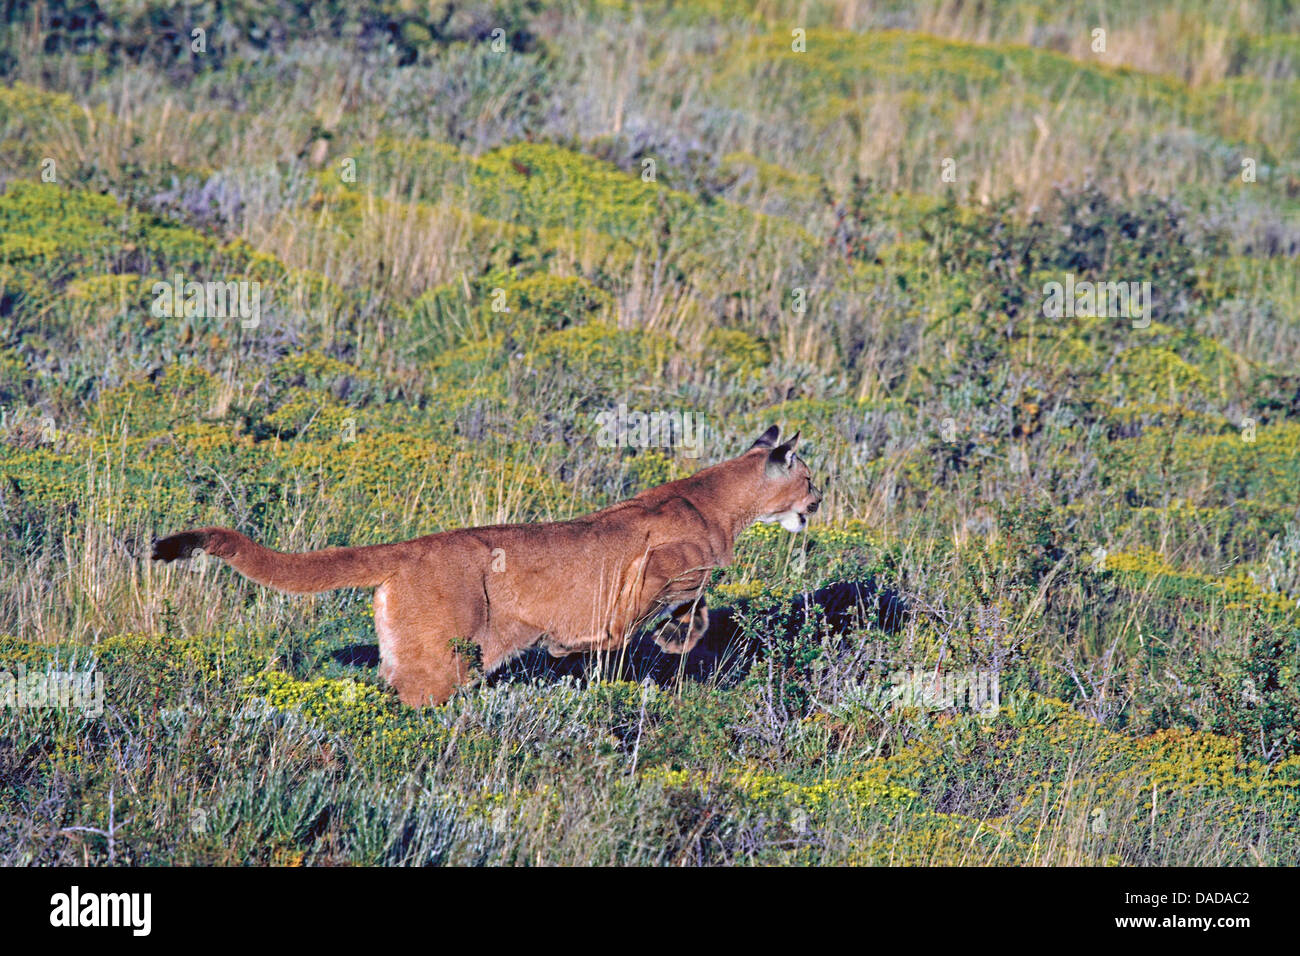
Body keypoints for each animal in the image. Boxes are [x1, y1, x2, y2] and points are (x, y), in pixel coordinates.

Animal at [151, 426, 822, 706]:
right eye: (811, 478)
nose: (819, 500)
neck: (721, 503)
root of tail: (411, 546)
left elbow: (695, 605)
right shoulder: (661, 564)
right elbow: (684, 604)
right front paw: (648, 640)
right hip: (441, 661)